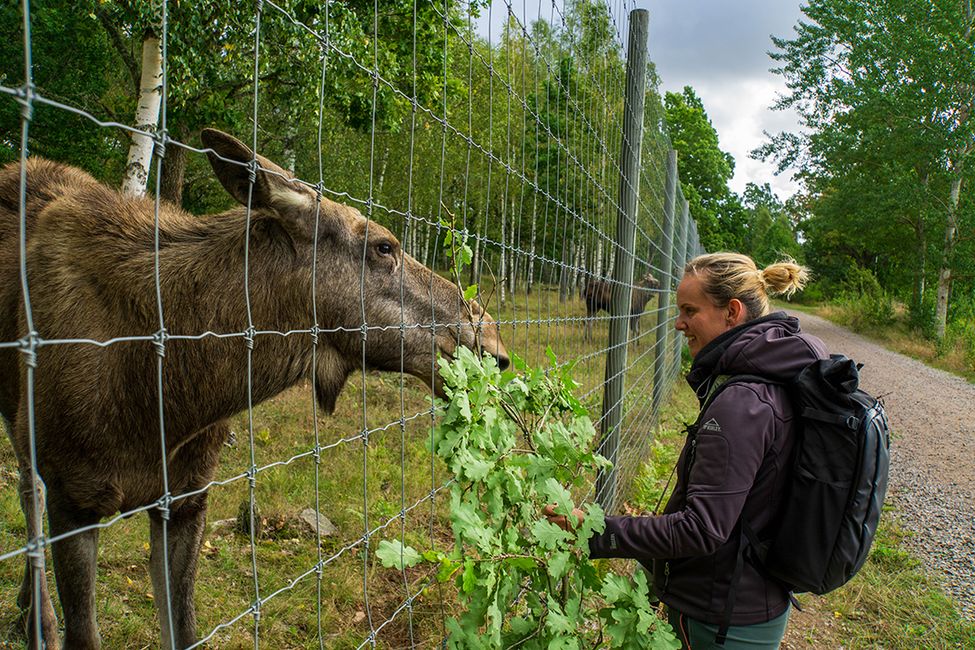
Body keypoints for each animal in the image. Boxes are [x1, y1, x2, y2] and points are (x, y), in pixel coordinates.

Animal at [0, 128, 509, 650]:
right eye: (385, 246)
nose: (490, 341)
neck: (170, 397)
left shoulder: (186, 498)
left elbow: (184, 630)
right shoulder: (75, 499)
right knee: (27, 488)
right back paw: (39, 616)